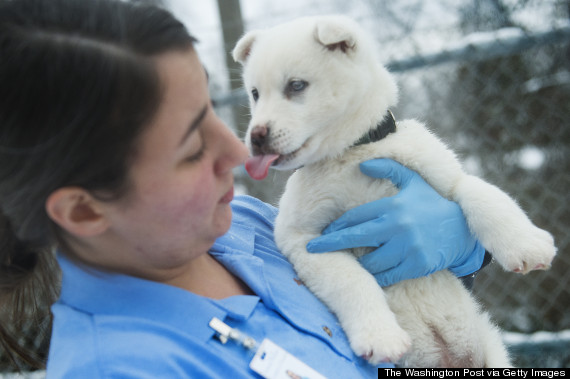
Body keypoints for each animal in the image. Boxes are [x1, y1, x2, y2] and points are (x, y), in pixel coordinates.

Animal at [231, 15, 556, 368]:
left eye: (296, 86)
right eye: (255, 93)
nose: (256, 137)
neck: (352, 153)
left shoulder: (446, 178)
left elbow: (483, 195)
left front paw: (526, 244)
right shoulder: (306, 239)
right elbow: (352, 281)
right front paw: (379, 334)